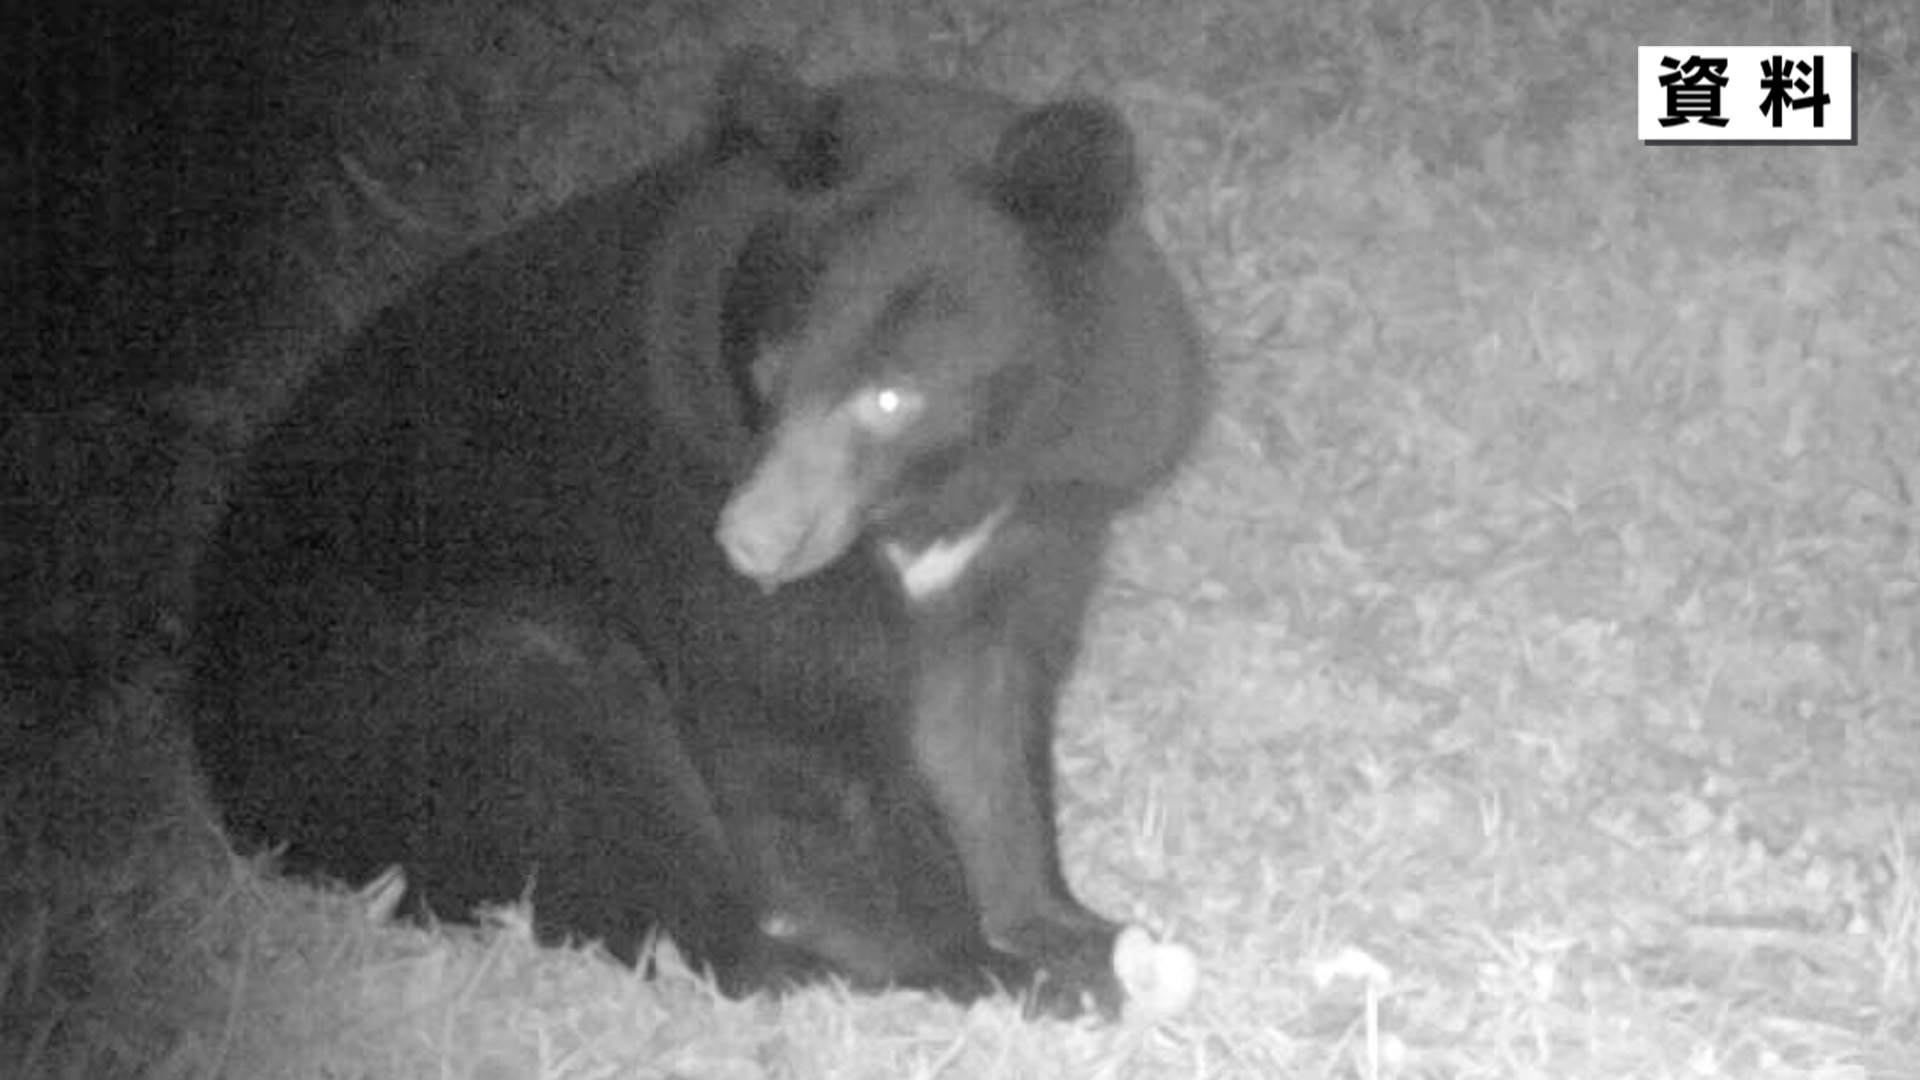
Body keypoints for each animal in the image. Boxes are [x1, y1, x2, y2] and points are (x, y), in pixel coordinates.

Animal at [187, 49, 1207, 1019]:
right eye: (769, 371)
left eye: (892, 397)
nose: (752, 542)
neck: (932, 504)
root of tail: (233, 785)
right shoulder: (680, 493)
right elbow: (796, 734)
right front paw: (990, 969)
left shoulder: (1045, 511)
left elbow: (981, 719)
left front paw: (1073, 932)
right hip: (427, 681)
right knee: (582, 781)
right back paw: (779, 959)